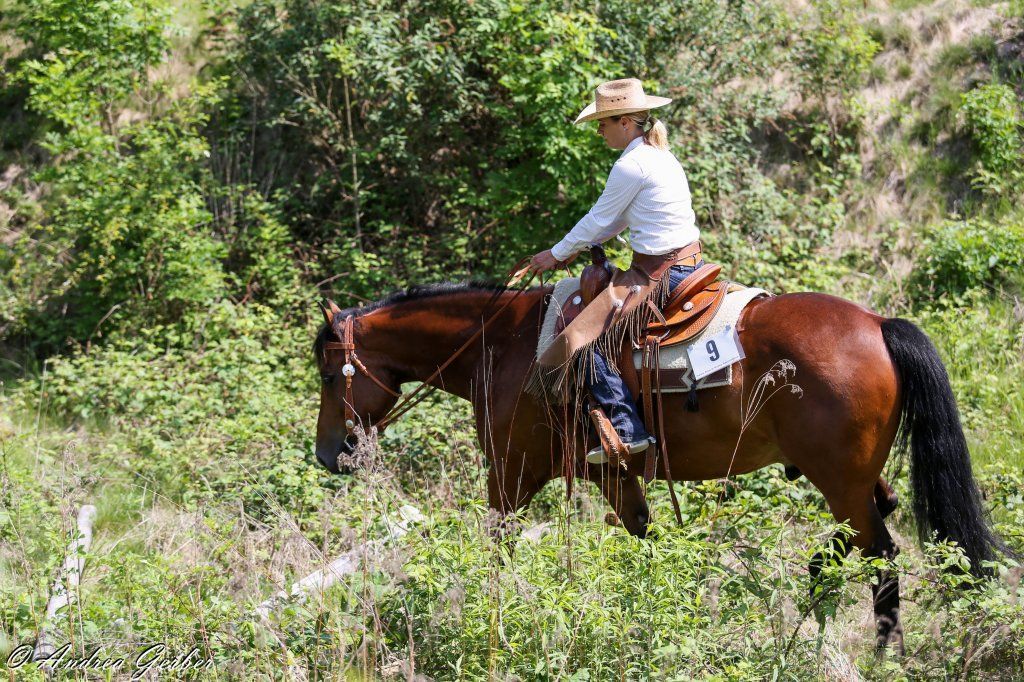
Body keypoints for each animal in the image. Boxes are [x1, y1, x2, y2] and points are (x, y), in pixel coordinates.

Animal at [312, 281, 1008, 653]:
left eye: (328, 373)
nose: (329, 453)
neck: (501, 347)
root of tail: (878, 324)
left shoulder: (510, 474)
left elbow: (495, 550)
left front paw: (483, 621)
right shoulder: (614, 476)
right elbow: (644, 541)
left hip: (839, 481)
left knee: (880, 555)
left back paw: (881, 651)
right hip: (853, 480)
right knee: (864, 533)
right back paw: (813, 595)